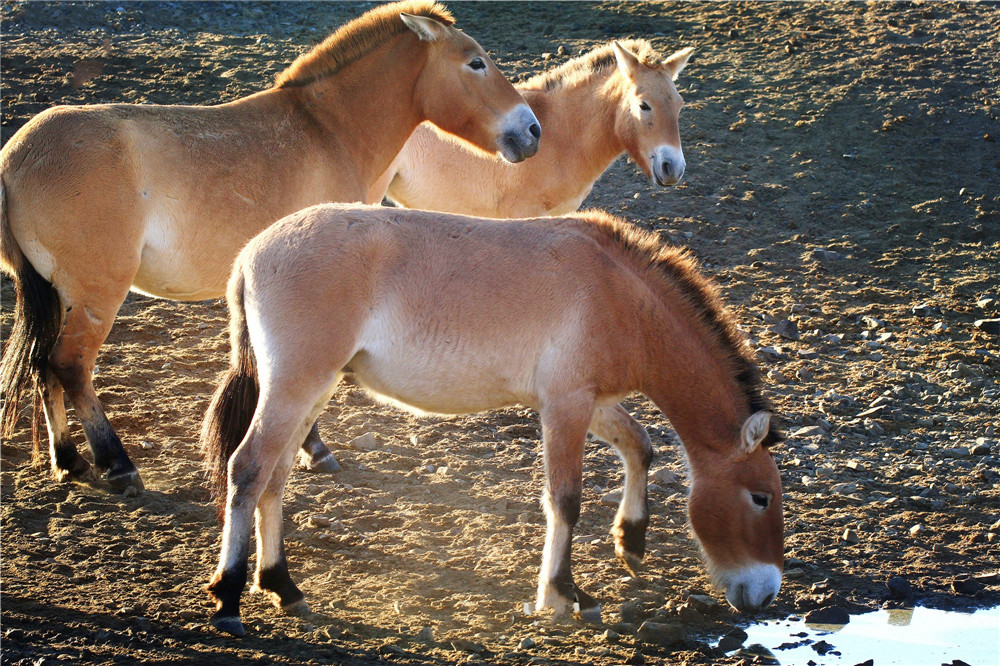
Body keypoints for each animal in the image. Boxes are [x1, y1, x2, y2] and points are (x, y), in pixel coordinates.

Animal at [0, 0, 540, 488]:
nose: (531, 131)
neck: (329, 130)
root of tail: (17, 157)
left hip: (58, 293)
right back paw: (117, 464)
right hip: (96, 293)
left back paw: (68, 460)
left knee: (42, 366)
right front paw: (315, 448)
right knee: (70, 366)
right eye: (475, 62)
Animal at [201, 201, 780, 632]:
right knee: (248, 469)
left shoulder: (587, 402)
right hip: (295, 387)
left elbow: (641, 446)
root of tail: (250, 254)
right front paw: (562, 594)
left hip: (311, 392)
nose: (767, 593)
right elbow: (565, 500)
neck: (619, 294)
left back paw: (282, 586)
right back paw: (228, 597)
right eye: (760, 498)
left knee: (275, 478)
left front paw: (630, 540)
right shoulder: (566, 405)